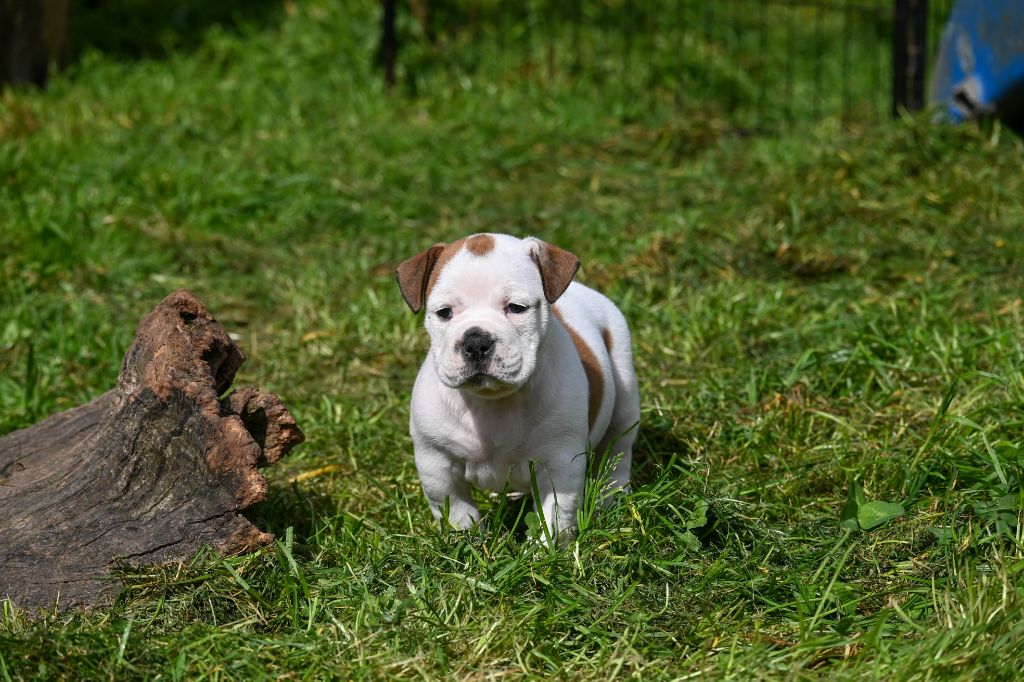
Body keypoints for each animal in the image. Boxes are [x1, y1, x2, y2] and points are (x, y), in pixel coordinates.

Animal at [396, 233, 640, 540]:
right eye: (444, 313)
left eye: (516, 308)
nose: (476, 341)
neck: (493, 401)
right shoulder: (437, 464)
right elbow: (456, 510)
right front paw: (467, 543)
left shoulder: (560, 464)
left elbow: (554, 515)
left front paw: (545, 549)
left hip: (625, 393)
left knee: (618, 448)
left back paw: (612, 497)